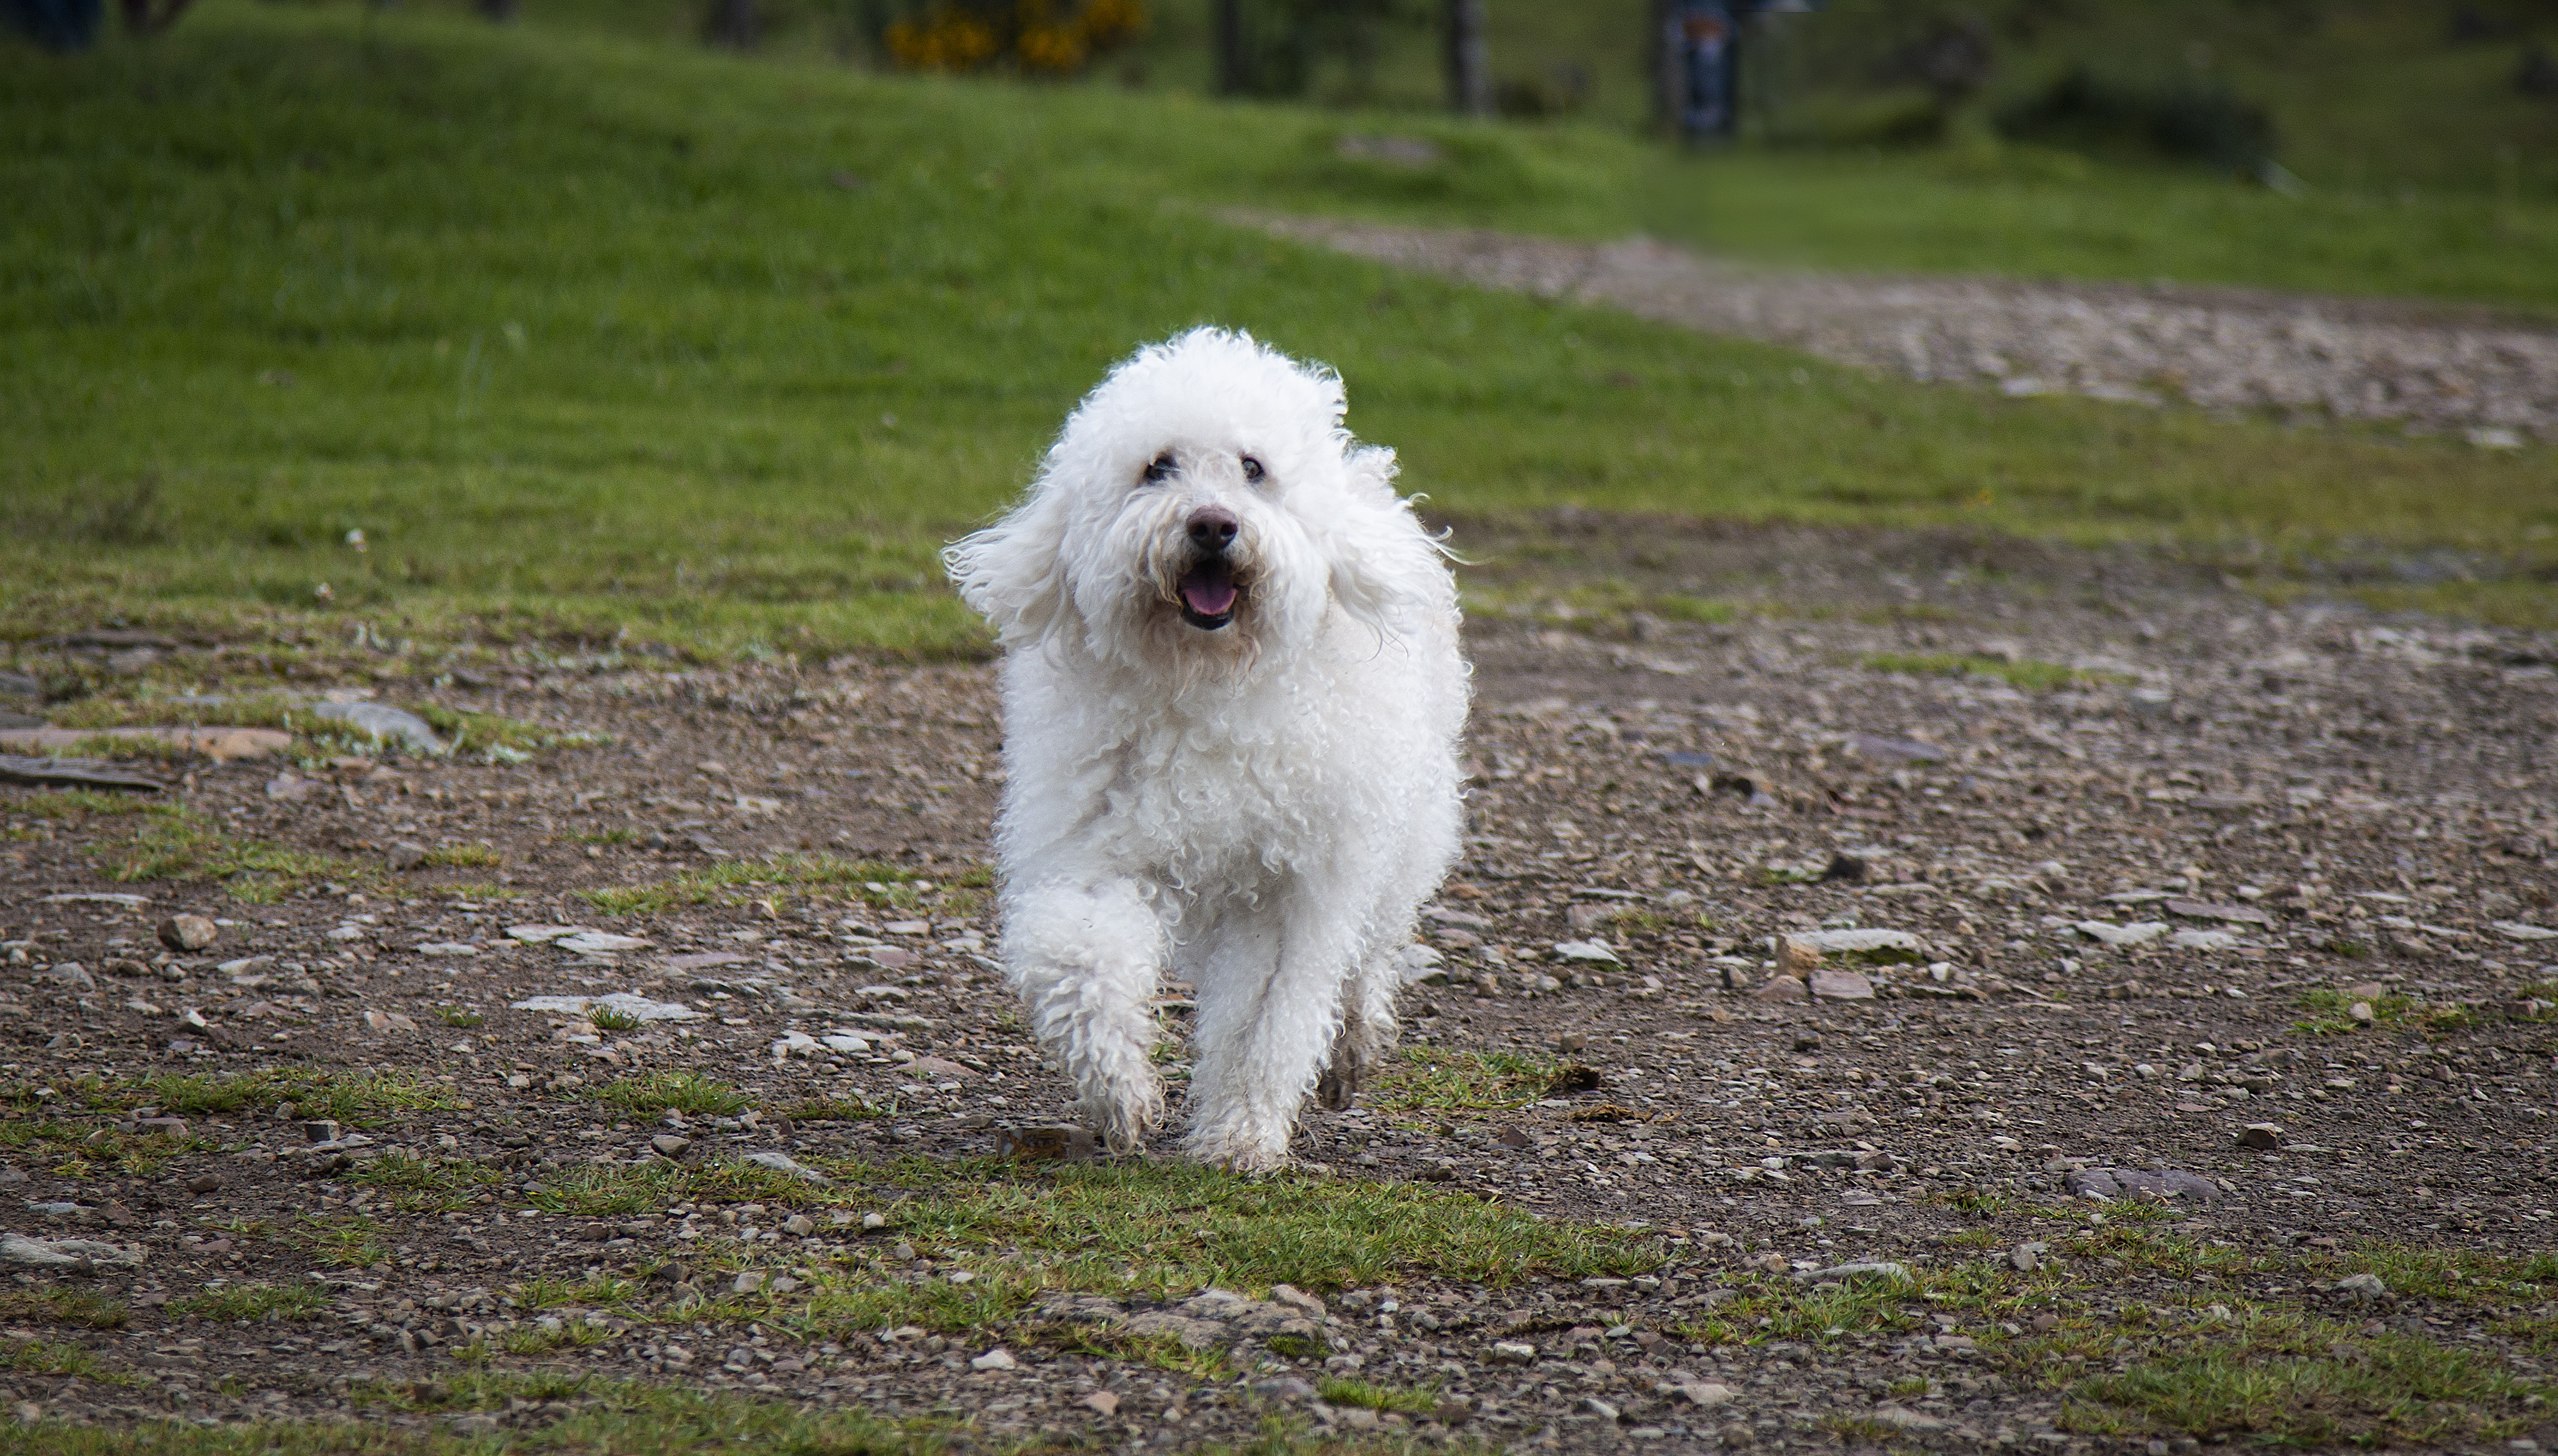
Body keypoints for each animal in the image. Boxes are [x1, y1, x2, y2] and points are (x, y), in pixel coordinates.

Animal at [943, 328, 1470, 1171]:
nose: (1213, 524)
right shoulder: (1093, 848)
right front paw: (1119, 1090)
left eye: (1253, 468)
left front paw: (1239, 1135)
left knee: (1369, 953)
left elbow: (1265, 1021)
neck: (1207, 682)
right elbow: (1077, 962)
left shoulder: (1289, 885)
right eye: (1157, 466)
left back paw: (1351, 1046)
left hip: (1406, 834)